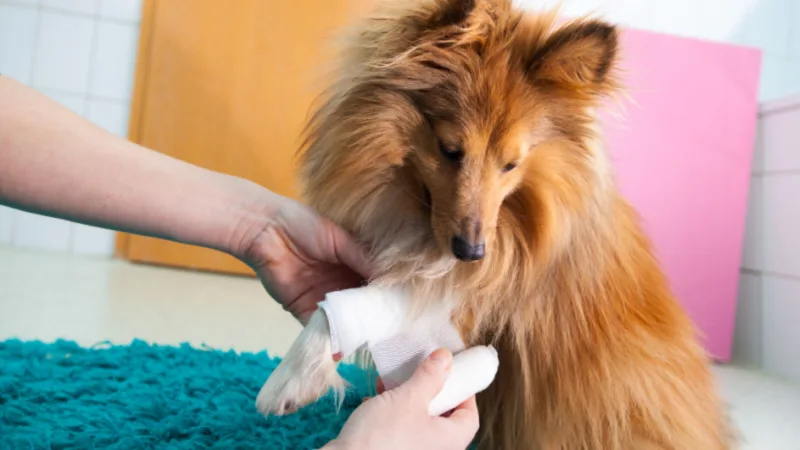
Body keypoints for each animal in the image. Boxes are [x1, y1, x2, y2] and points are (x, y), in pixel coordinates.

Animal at [255, 1, 732, 448]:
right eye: (450, 149)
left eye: (511, 164)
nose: (472, 253)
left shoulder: (473, 295)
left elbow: (355, 306)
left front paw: (290, 378)